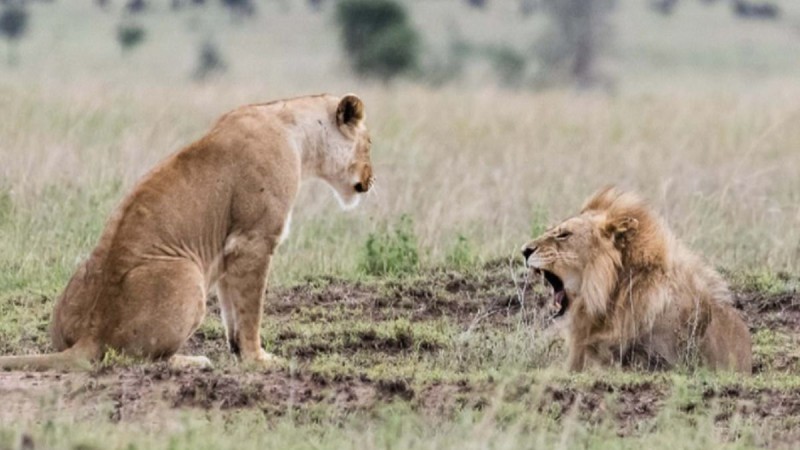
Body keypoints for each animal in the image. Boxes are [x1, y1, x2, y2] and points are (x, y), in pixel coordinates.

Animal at [0, 93, 376, 370]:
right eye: (369, 143)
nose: (372, 180)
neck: (299, 135)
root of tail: (90, 334)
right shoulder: (255, 239)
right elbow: (251, 310)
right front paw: (259, 359)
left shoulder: (232, 249)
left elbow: (233, 311)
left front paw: (239, 353)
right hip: (187, 275)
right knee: (139, 358)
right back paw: (193, 360)